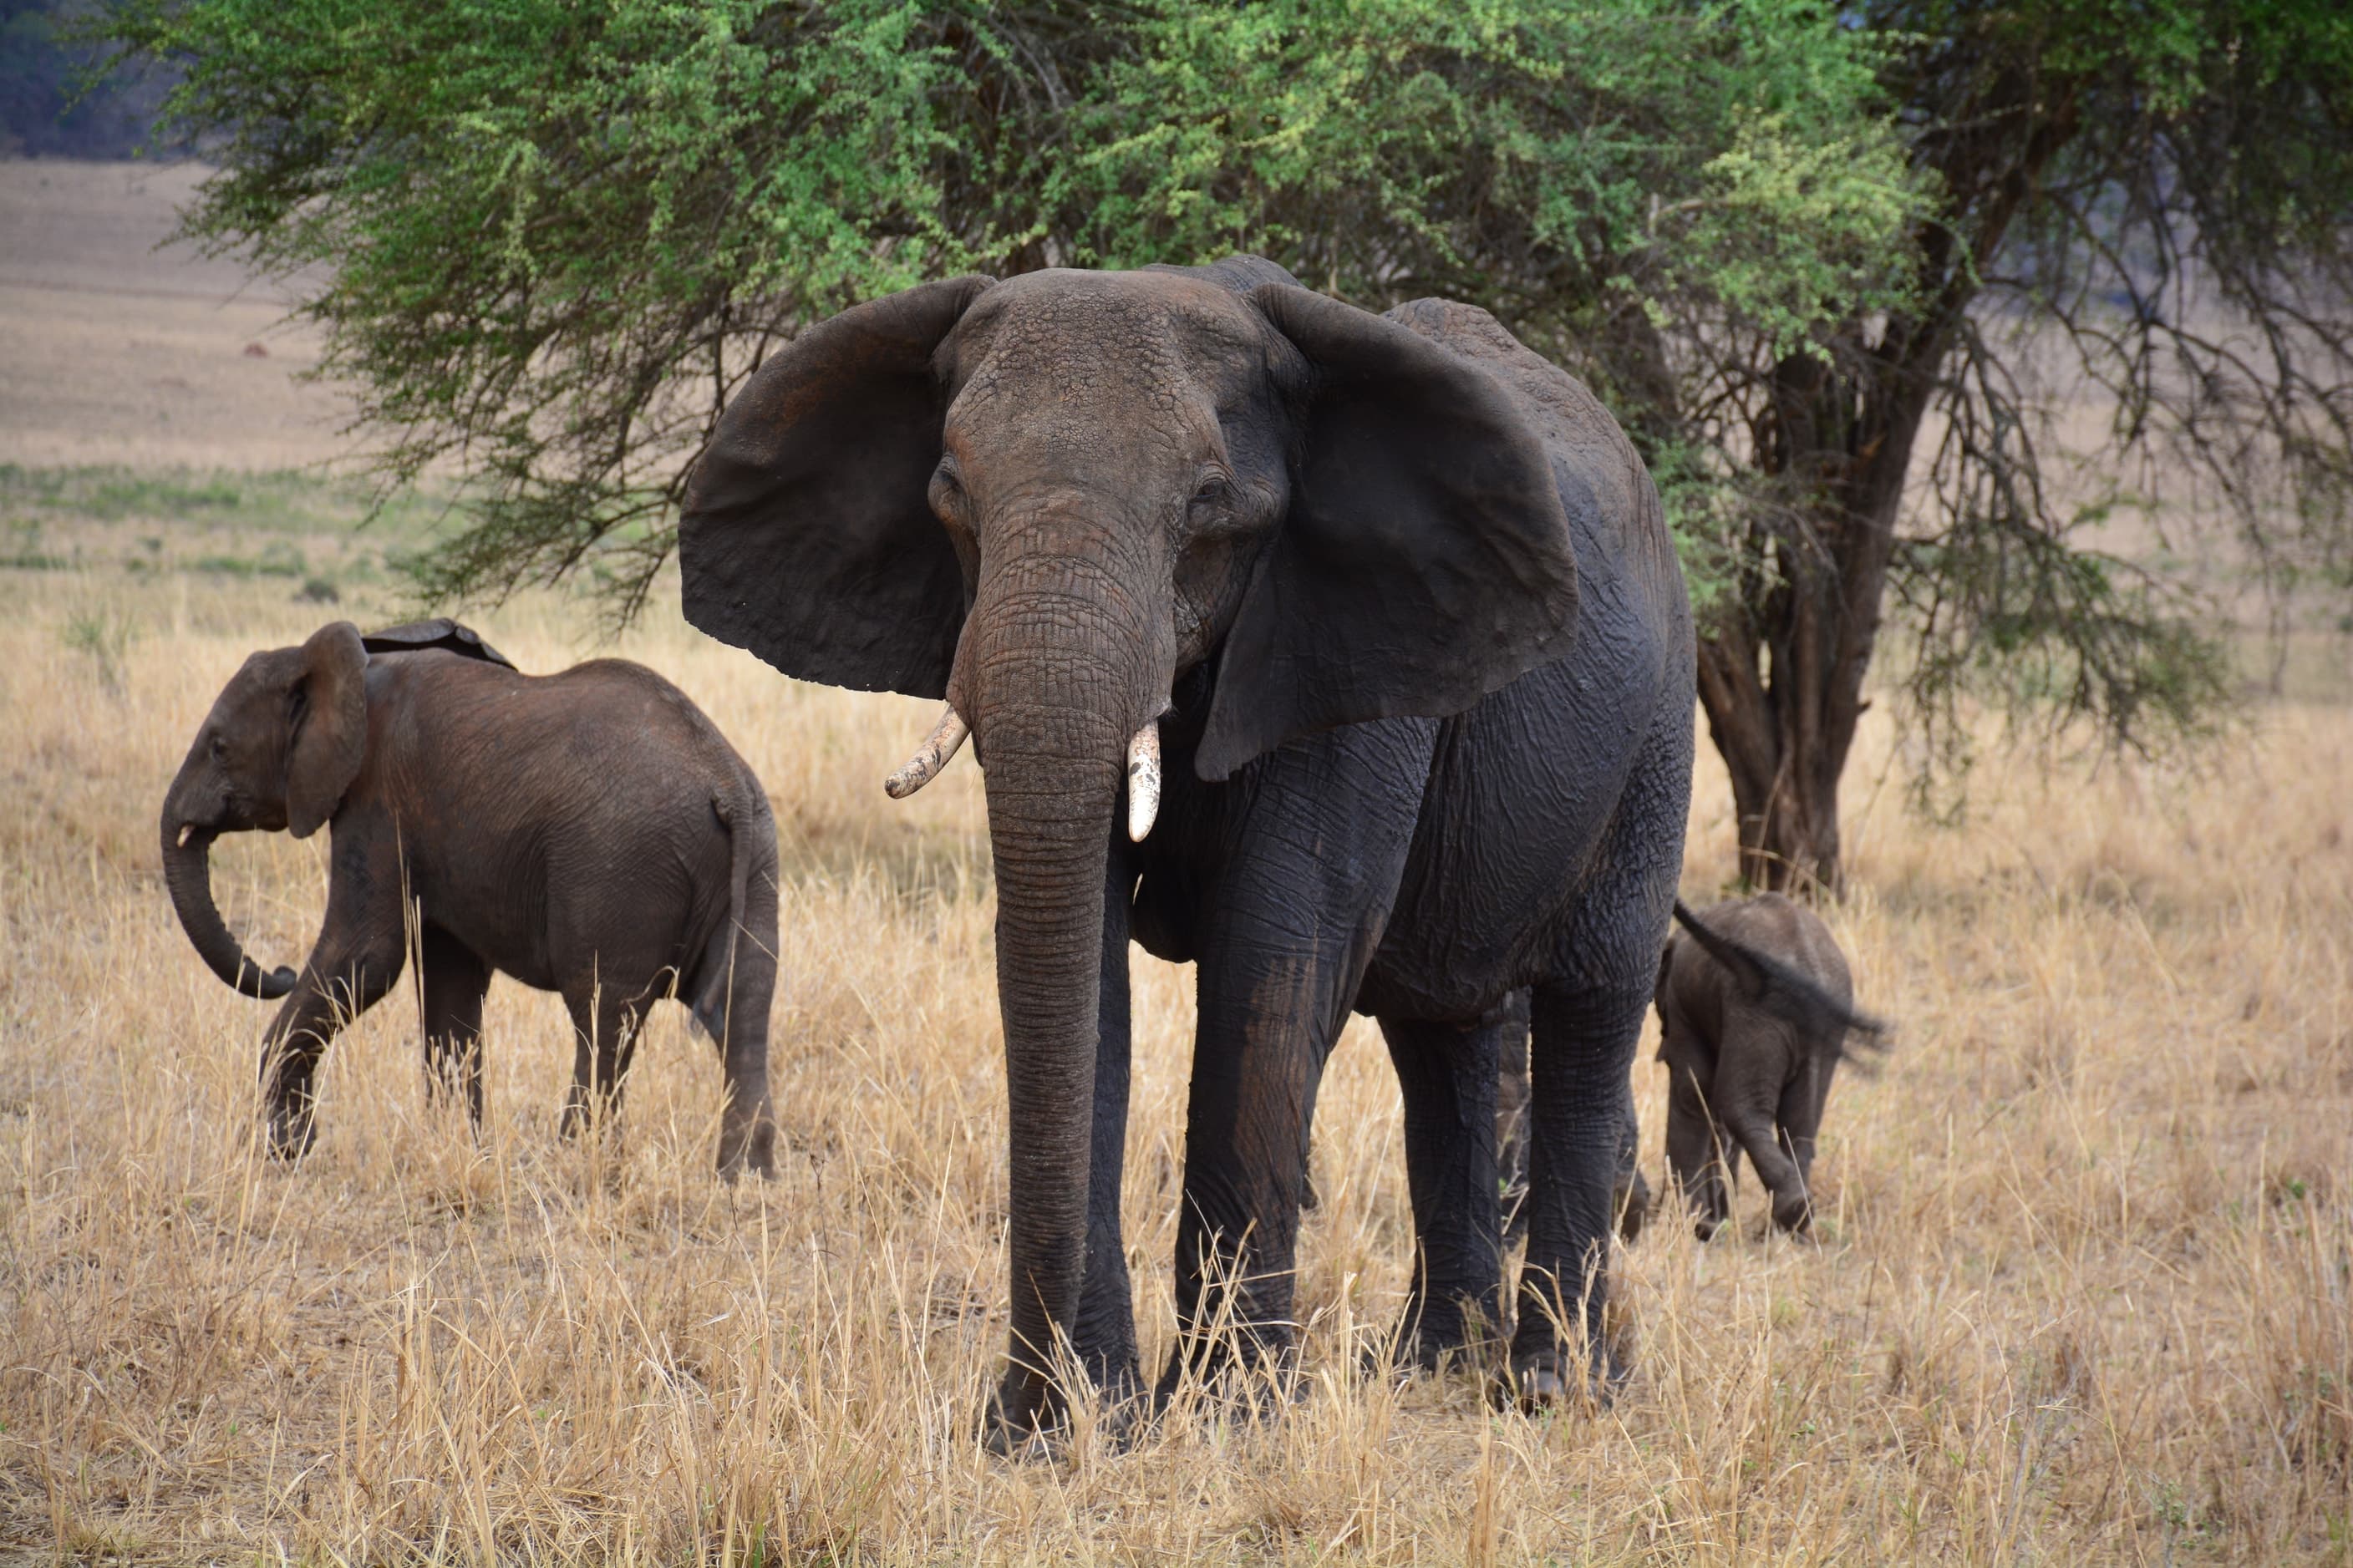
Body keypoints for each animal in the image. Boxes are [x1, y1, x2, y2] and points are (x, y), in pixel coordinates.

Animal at [160, 618, 780, 1176]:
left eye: (219, 747)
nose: (280, 972)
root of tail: (724, 781)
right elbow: (449, 979)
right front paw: (458, 1148)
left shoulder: (376, 800)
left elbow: (366, 956)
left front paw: (285, 1148)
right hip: (755, 862)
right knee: (743, 1007)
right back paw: (744, 1177)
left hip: (621, 868)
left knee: (603, 1011)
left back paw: (575, 1163)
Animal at [678, 256, 1694, 1441]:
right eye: (951, 497)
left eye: (1209, 507)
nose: (1016, 1410)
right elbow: (1081, 967)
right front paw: (1093, 1419)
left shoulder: (1339, 656)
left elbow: (1275, 954)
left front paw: (1226, 1419)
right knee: (1440, 1030)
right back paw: (1430, 1368)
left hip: (1656, 734)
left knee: (1591, 1000)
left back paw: (1550, 1386)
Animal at [1653, 895, 1887, 1238]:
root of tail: (1806, 955)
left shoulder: (1684, 1005)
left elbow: (1692, 1093)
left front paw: (1697, 1225)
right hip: (1815, 1024)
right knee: (1799, 1125)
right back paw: (1791, 1222)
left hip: (1758, 1015)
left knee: (1739, 1107)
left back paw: (1789, 1213)